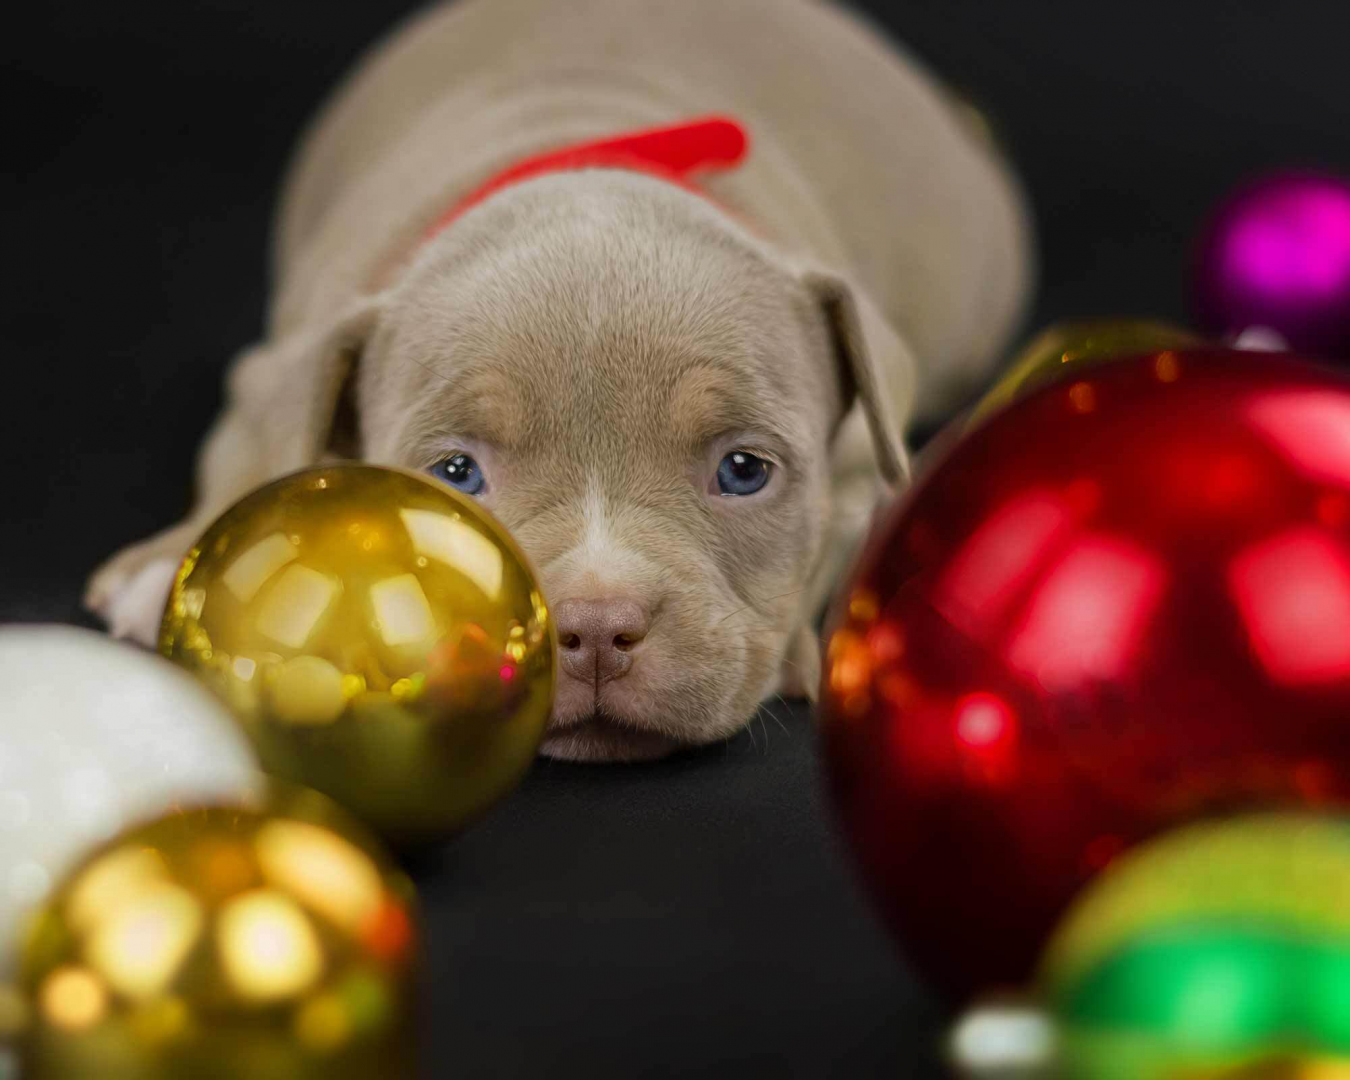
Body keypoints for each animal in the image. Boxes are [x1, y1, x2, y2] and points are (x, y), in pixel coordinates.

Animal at [87, 0, 1031, 761]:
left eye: (744, 470)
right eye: (455, 474)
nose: (597, 627)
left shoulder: (866, 463)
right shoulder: (280, 364)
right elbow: (253, 449)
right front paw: (175, 564)